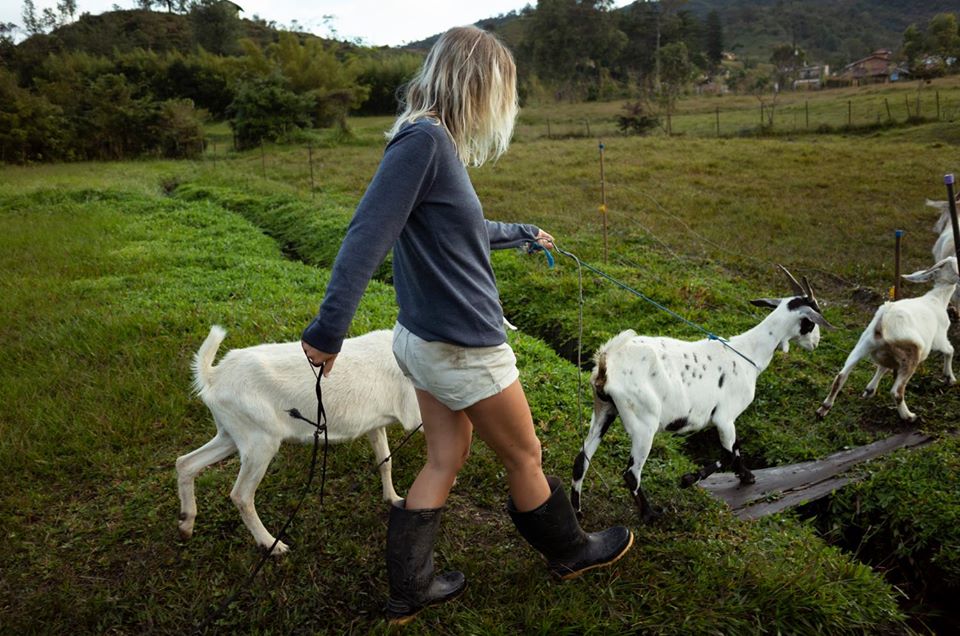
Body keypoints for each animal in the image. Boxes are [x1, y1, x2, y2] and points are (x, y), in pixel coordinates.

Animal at [178, 326, 418, 556]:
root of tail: (212, 376)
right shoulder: (416, 415)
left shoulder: (375, 426)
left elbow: (385, 460)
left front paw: (392, 498)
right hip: (260, 442)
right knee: (241, 496)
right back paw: (271, 544)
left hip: (230, 434)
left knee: (185, 463)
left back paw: (186, 525)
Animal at [568, 266, 832, 520]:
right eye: (812, 321)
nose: (816, 343)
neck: (747, 353)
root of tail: (607, 364)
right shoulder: (725, 417)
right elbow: (728, 453)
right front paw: (689, 479)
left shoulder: (727, 420)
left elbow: (736, 448)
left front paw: (746, 476)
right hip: (643, 422)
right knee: (631, 473)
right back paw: (651, 515)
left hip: (604, 410)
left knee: (581, 459)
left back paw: (578, 510)